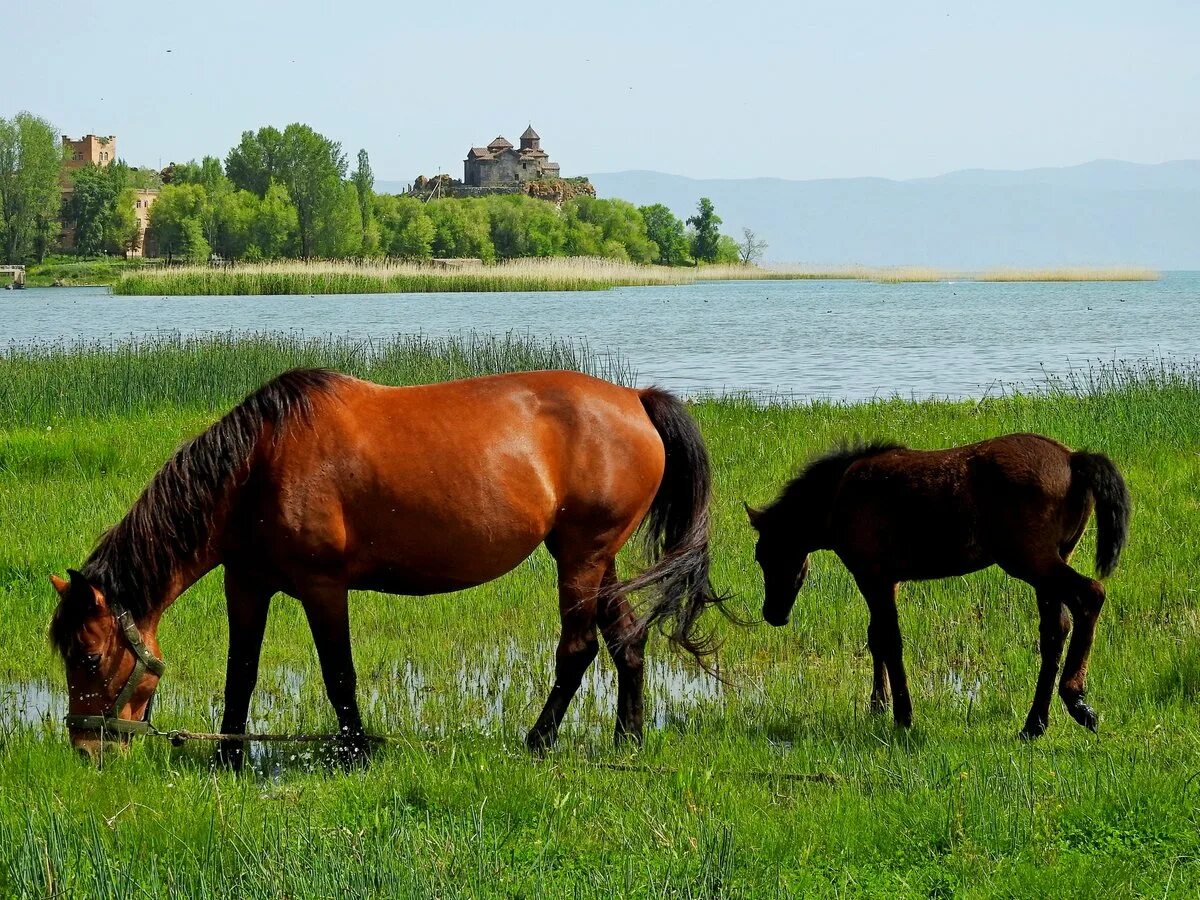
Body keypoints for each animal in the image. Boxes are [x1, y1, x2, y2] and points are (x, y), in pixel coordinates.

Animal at [49, 369, 720, 763]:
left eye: (88, 656)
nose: (85, 747)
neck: (258, 465)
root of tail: (637, 401)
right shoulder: (246, 584)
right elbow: (241, 671)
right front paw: (229, 757)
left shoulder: (323, 586)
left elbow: (338, 675)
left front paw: (355, 752)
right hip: (594, 558)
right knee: (627, 639)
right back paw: (628, 739)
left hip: (581, 557)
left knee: (577, 649)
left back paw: (538, 740)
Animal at [744, 434, 1128, 739]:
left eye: (765, 554)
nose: (773, 613)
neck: (839, 494)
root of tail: (1072, 459)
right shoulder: (889, 581)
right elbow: (876, 638)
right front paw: (878, 703)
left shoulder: (872, 577)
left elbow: (890, 641)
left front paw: (903, 715)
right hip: (1053, 561)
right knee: (1054, 632)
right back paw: (1034, 724)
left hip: (1032, 561)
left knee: (1090, 595)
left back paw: (1076, 701)